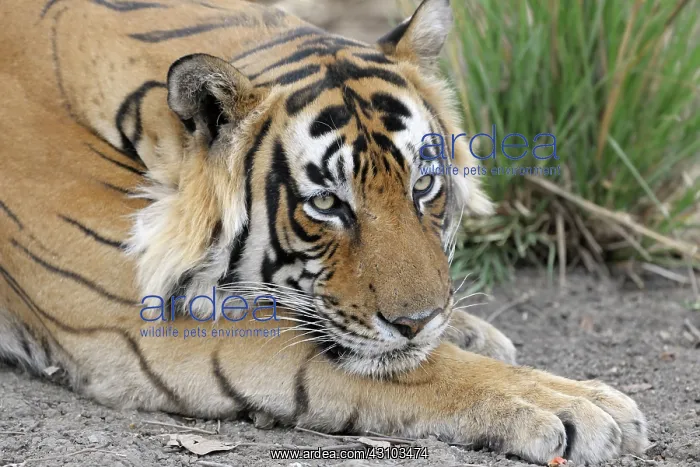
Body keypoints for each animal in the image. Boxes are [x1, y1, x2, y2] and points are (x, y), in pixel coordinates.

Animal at [0, 0, 648, 464]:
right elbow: (403, 367)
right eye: (328, 203)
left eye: (423, 186)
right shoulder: (142, 313)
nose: (416, 322)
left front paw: (470, 330)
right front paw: (577, 406)